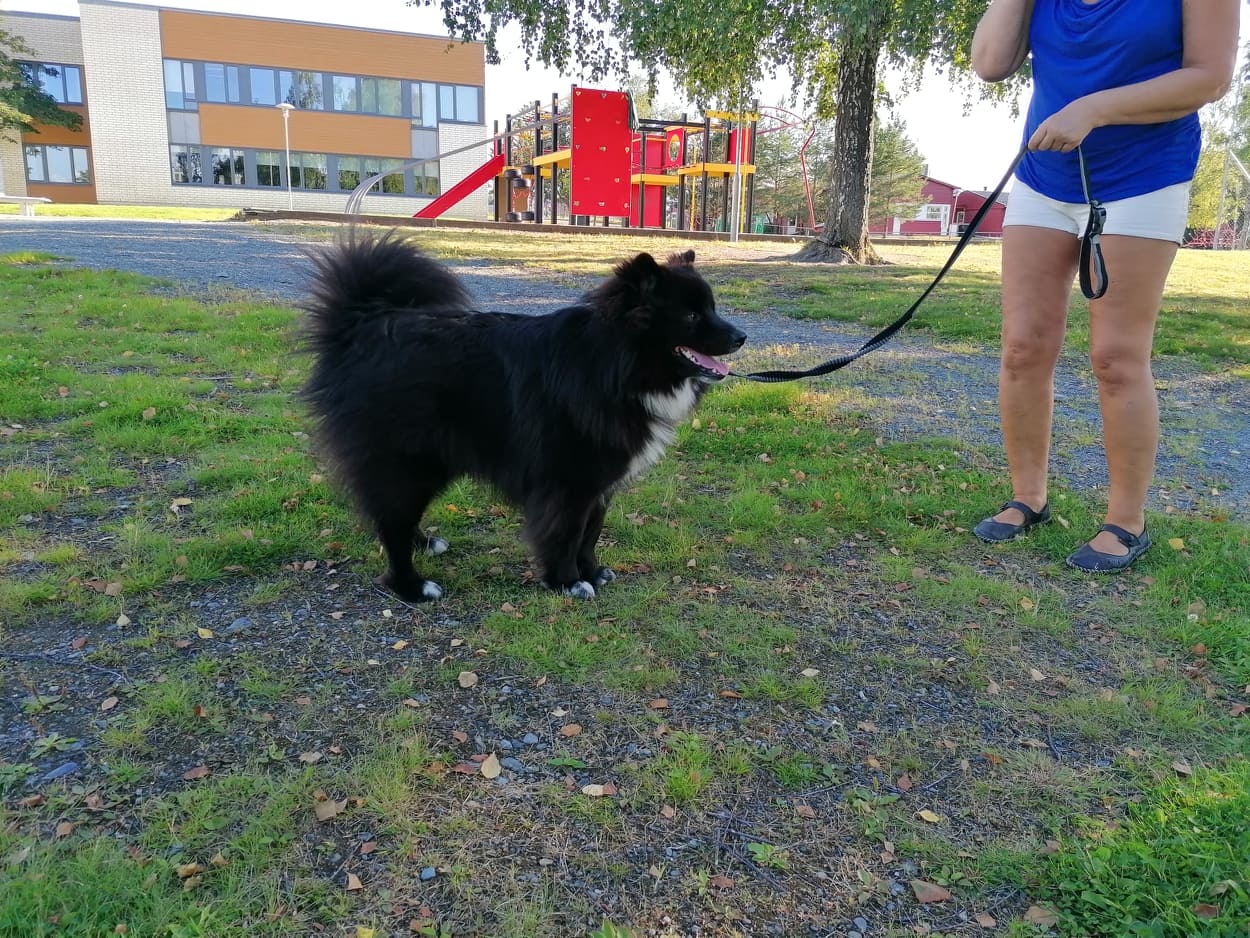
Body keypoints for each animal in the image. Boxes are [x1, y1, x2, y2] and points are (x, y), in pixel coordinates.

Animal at [300, 233, 746, 602]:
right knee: (392, 523)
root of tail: (360, 325)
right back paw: (412, 586)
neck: (613, 367)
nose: (742, 337)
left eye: (712, 308)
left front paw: (592, 572)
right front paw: (567, 582)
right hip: (409, 461)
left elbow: (591, 534)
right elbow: (567, 535)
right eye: (690, 316)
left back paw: (425, 544)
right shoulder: (568, 483)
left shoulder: (599, 484)